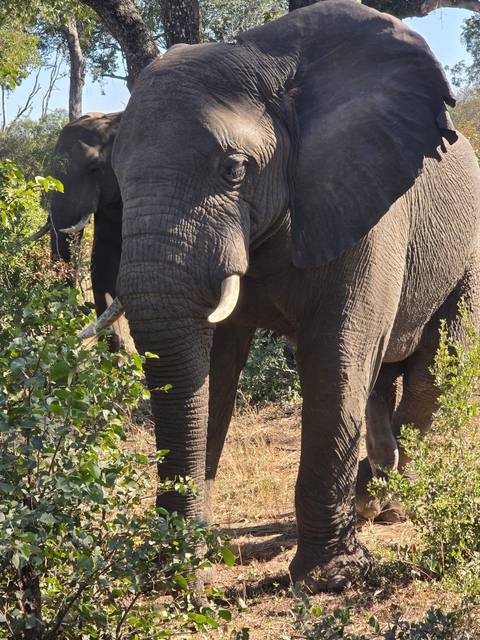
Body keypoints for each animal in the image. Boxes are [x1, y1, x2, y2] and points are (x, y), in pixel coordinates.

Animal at [85, 0, 480, 592]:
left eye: (233, 170)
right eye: (116, 178)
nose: (179, 571)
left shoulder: (367, 202)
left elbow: (336, 358)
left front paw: (332, 578)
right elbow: (214, 367)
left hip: (466, 257)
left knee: (432, 372)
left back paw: (386, 503)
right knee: (382, 382)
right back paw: (372, 500)